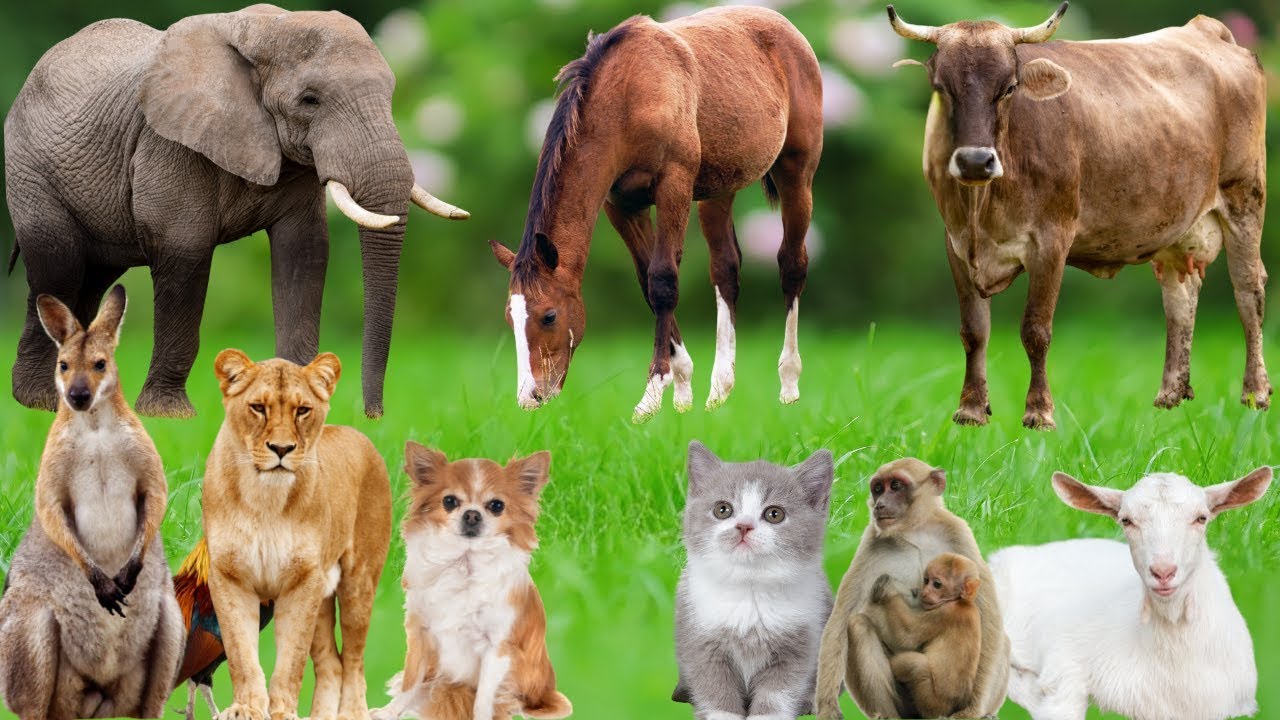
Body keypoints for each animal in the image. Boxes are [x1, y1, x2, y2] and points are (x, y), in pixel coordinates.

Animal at [488, 6, 824, 422]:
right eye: (510, 318)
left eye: (548, 315)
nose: (530, 397)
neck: (630, 94)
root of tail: (785, 26)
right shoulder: (621, 205)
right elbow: (647, 283)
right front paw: (680, 390)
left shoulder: (673, 185)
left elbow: (663, 281)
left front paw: (650, 397)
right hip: (719, 188)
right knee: (726, 269)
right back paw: (719, 390)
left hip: (797, 171)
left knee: (792, 263)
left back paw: (789, 385)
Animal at [889, 2, 1269, 429]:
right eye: (941, 87)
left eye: (1009, 88)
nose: (974, 161)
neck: (981, 209)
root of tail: (1204, 28)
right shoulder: (955, 243)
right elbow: (974, 330)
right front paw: (971, 410)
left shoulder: (1052, 240)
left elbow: (1036, 330)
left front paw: (1039, 413)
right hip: (1175, 222)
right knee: (1180, 295)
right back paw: (1170, 394)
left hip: (1245, 198)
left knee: (1249, 290)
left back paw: (1255, 393)